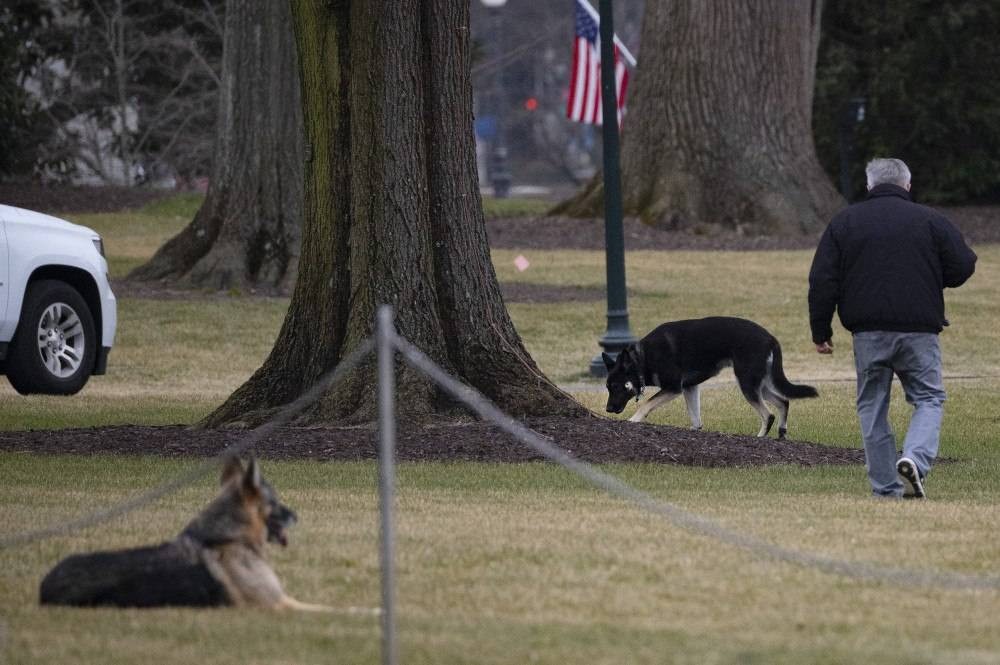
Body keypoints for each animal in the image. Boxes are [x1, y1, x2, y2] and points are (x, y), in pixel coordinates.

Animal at [40, 454, 328, 608]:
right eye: (275, 502)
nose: (296, 516)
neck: (224, 537)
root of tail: (45, 590)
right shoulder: (277, 603)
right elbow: (327, 609)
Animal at [604, 316, 816, 438]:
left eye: (615, 386)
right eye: (607, 387)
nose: (607, 409)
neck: (642, 358)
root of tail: (771, 338)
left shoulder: (673, 388)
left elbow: (646, 404)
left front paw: (633, 420)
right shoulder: (689, 388)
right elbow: (695, 416)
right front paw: (695, 430)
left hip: (747, 383)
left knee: (768, 414)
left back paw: (760, 437)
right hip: (758, 384)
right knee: (783, 402)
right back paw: (782, 433)